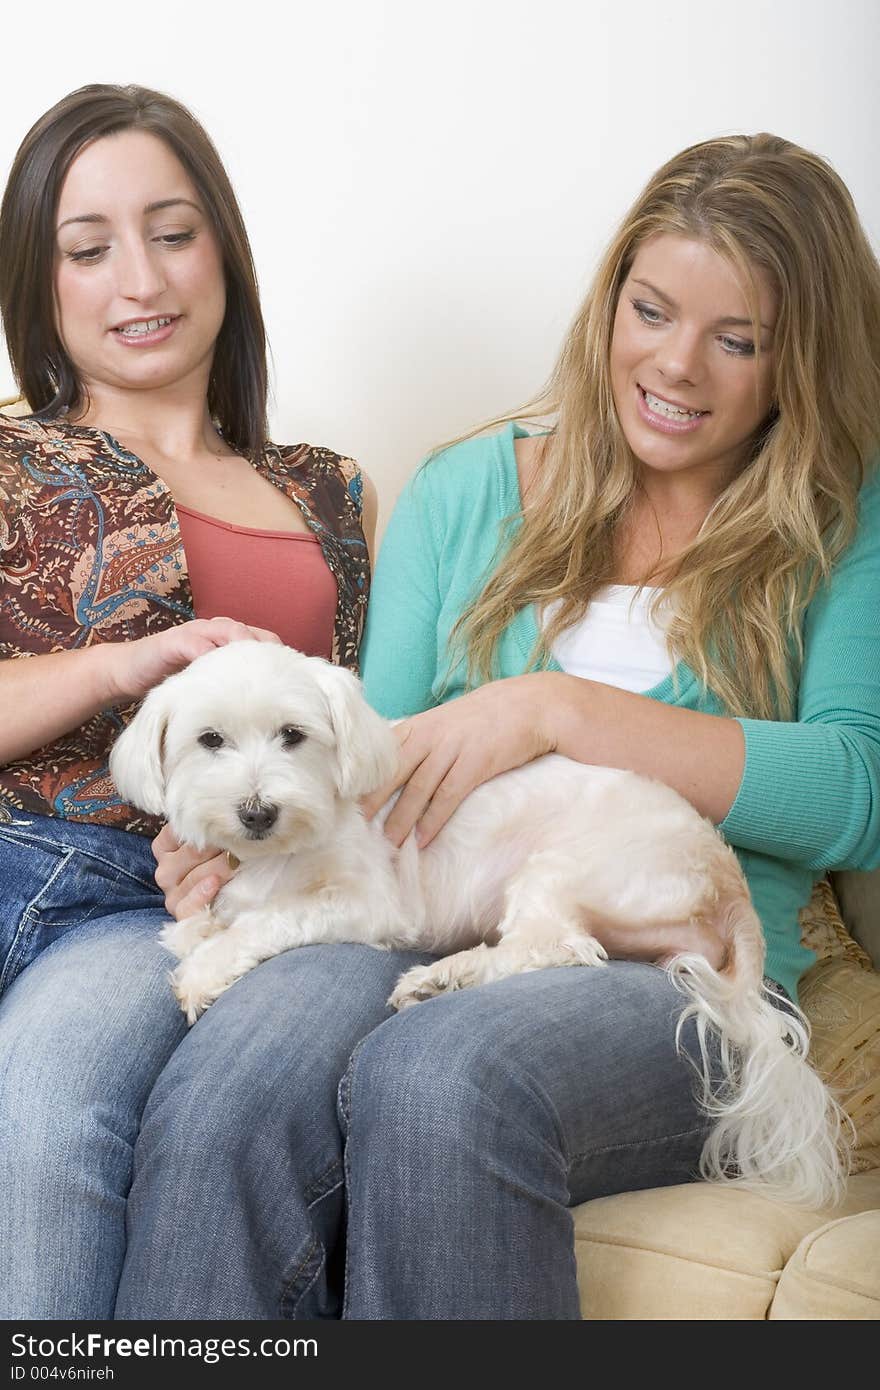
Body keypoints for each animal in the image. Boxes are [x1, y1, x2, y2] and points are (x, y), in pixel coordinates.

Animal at [108, 639, 845, 1206]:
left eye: (293, 735)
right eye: (210, 741)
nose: (257, 811)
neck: (283, 849)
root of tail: (728, 882)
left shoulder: (368, 901)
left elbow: (270, 920)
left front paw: (205, 969)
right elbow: (212, 916)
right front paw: (199, 929)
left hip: (566, 865)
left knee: (554, 945)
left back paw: (444, 977)